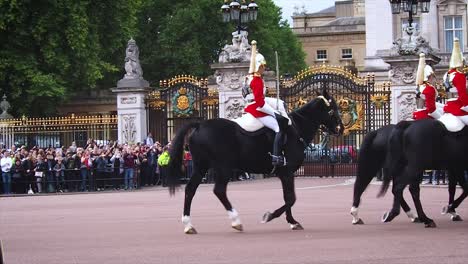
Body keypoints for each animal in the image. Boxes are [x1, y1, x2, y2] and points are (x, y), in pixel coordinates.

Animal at [166, 90, 342, 233]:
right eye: (332, 108)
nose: (340, 128)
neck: (296, 129)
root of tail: (200, 124)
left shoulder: (285, 174)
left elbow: (288, 197)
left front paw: (292, 221)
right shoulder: (287, 172)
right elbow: (291, 198)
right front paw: (270, 216)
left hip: (201, 167)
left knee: (190, 189)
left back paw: (188, 225)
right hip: (223, 167)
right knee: (219, 190)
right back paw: (236, 221)